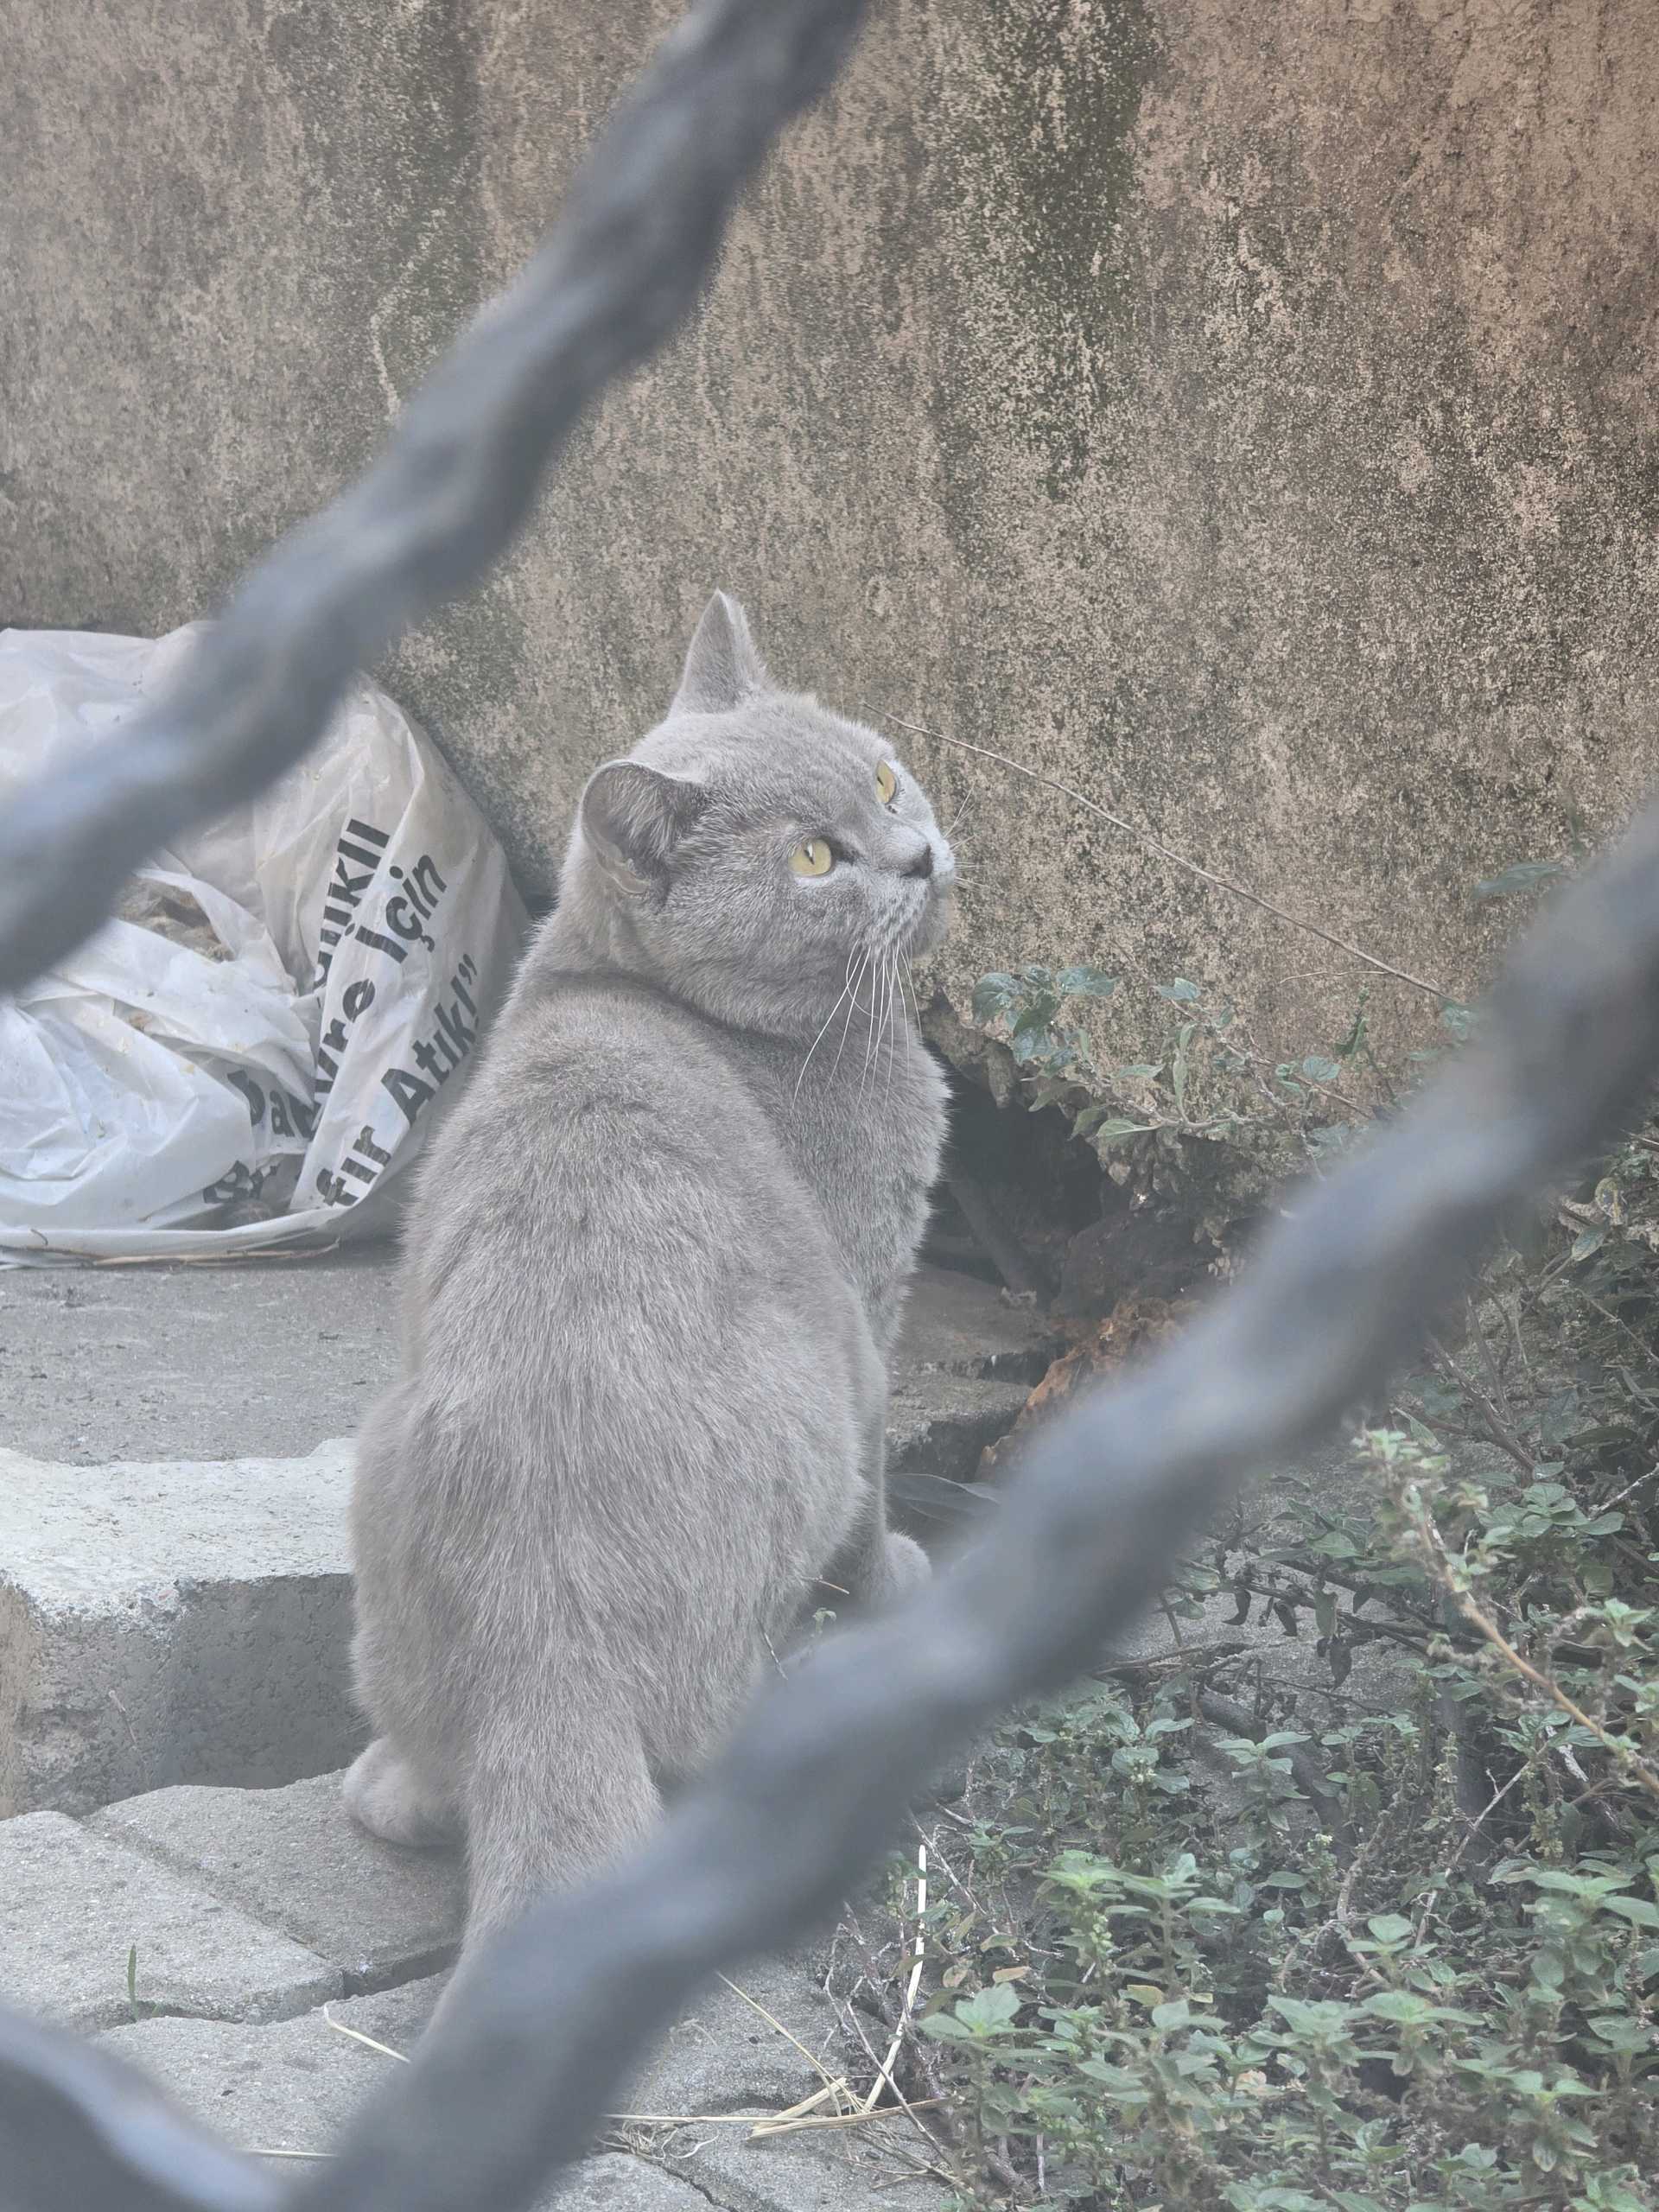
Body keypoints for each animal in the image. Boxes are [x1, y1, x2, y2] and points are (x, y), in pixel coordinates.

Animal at [345, 588, 955, 1973]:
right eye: (814, 860)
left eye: (883, 778)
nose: (918, 857)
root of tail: (542, 1654)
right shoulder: (873, 1299)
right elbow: (886, 1479)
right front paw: (898, 1577)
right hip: (805, 1410)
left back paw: (384, 1782)